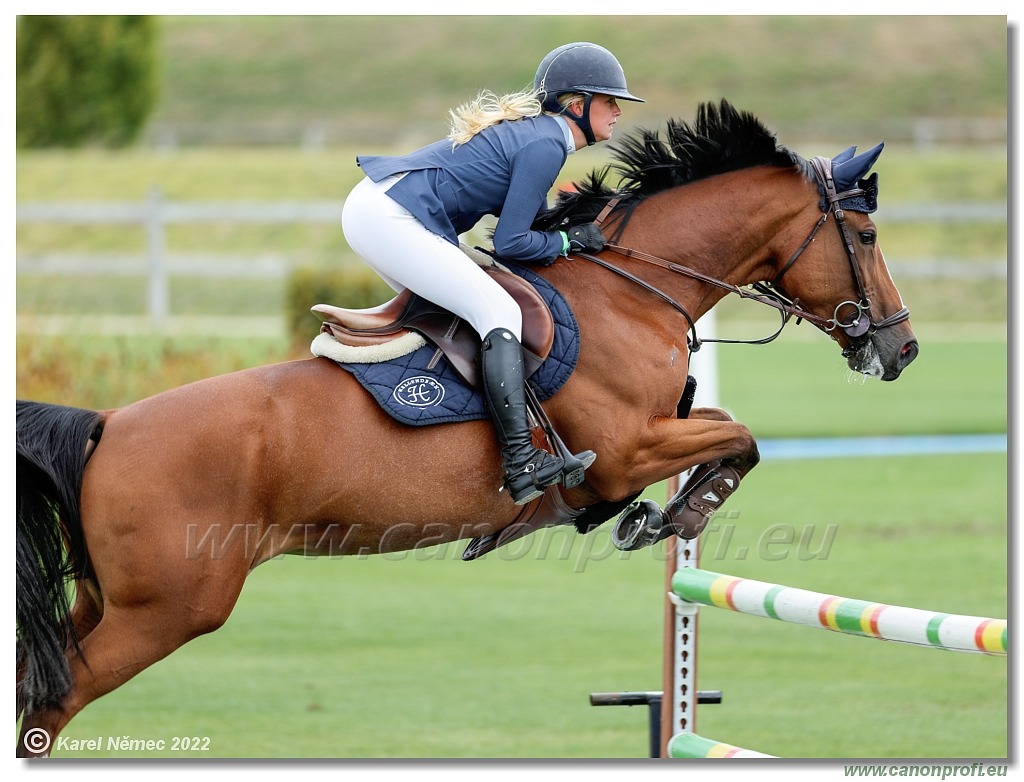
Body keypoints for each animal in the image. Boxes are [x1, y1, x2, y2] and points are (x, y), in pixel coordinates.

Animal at [12, 100, 917, 753]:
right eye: (867, 233)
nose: (901, 348)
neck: (633, 289)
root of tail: (105, 425)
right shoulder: (624, 452)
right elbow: (738, 435)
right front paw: (677, 513)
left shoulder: (647, 438)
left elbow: (724, 424)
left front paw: (661, 516)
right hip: (166, 608)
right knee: (53, 701)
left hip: (107, 602)